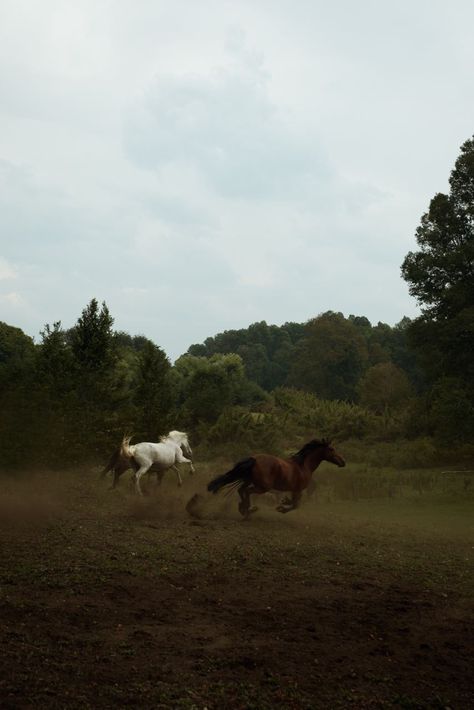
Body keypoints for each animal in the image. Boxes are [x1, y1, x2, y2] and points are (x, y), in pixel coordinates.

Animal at [200, 440, 344, 516]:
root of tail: (254, 459)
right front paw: (282, 507)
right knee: (247, 491)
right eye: (332, 449)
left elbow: (295, 503)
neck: (304, 466)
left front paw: (284, 502)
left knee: (241, 490)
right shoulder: (297, 490)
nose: (343, 462)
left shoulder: (295, 490)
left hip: (251, 481)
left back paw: (244, 508)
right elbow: (295, 504)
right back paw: (248, 509)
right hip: (262, 487)